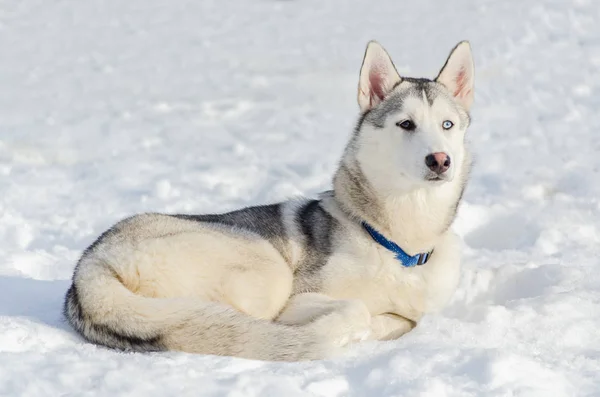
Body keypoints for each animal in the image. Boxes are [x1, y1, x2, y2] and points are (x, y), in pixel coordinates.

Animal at [64, 40, 474, 358]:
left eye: (447, 125)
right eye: (405, 124)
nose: (440, 160)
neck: (399, 246)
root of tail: (90, 265)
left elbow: (406, 319)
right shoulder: (302, 295)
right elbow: (359, 310)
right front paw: (360, 327)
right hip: (266, 268)